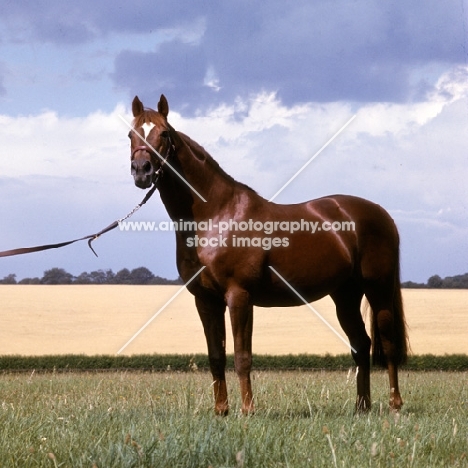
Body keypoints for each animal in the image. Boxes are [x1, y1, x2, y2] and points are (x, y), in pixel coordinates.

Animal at [126, 93, 408, 414]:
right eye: (130, 134)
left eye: (164, 133)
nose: (141, 170)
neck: (217, 215)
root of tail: (382, 214)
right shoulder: (206, 300)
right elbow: (216, 356)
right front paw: (221, 411)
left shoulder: (239, 295)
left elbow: (242, 356)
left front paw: (247, 410)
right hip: (345, 295)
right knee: (361, 345)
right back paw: (362, 407)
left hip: (378, 289)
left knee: (387, 344)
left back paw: (395, 404)